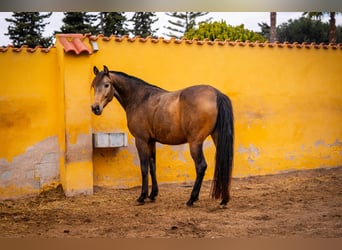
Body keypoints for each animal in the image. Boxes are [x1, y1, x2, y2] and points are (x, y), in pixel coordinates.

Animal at [91, 65, 234, 208]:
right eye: (93, 85)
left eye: (106, 85)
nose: (95, 108)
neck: (139, 98)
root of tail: (216, 94)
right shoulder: (151, 141)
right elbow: (152, 166)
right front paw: (153, 194)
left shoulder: (141, 140)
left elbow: (144, 168)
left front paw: (142, 196)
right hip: (216, 137)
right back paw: (224, 200)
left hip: (195, 142)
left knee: (201, 166)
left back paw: (192, 199)